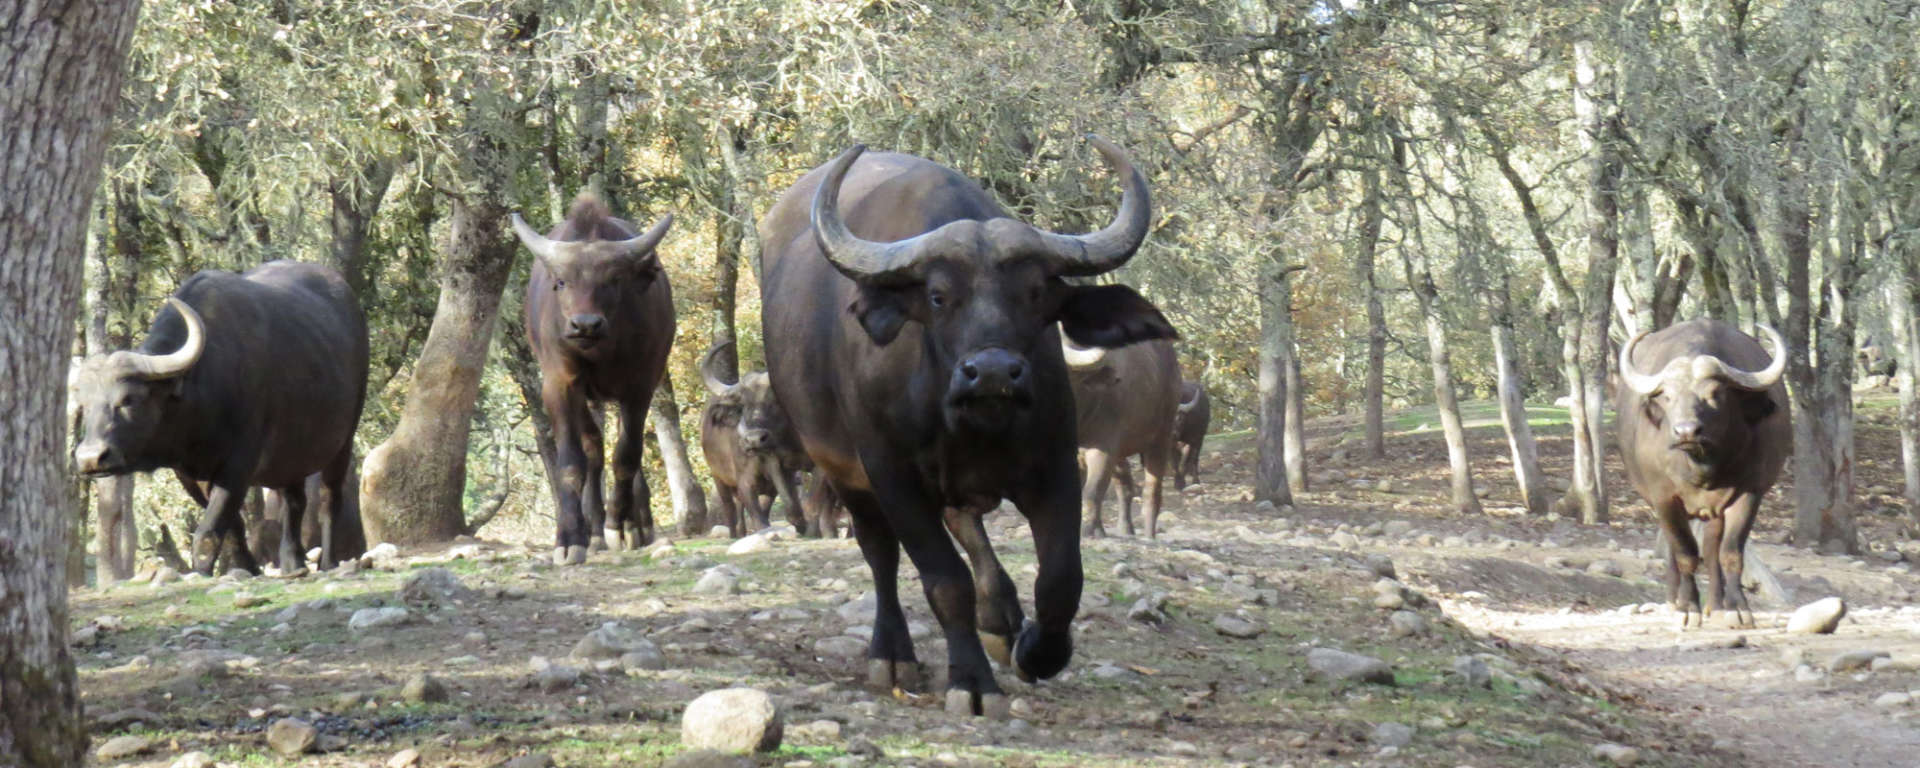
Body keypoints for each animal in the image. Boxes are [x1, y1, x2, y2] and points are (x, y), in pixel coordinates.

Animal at [71, 261, 369, 575]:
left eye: (128, 399)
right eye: (84, 404)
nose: (90, 459)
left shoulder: (238, 466)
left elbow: (209, 531)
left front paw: (203, 571)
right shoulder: (190, 475)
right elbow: (232, 527)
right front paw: (248, 568)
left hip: (343, 442)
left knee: (328, 499)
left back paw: (328, 561)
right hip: (293, 452)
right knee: (295, 502)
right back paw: (292, 562)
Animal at [512, 195, 674, 565]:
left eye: (613, 279)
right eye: (561, 282)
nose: (584, 325)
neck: (602, 349)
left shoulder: (640, 386)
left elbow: (627, 456)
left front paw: (619, 524)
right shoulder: (559, 384)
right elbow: (573, 462)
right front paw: (571, 538)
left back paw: (633, 525)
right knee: (594, 449)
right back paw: (595, 532)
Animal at [1064, 336, 1180, 538]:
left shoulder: (1103, 448)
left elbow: (1092, 491)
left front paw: (1086, 531)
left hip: (1161, 437)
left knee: (1152, 491)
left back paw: (1149, 535)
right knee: (1125, 486)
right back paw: (1121, 529)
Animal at [1616, 319, 1789, 629]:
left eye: (1714, 395)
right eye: (1668, 396)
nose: (1686, 431)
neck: (1702, 467)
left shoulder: (1749, 494)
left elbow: (1730, 553)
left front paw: (1738, 609)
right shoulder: (1664, 498)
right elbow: (1684, 553)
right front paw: (1687, 609)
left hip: (1715, 512)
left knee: (1710, 549)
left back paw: (1716, 604)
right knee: (1674, 550)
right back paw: (1675, 601)